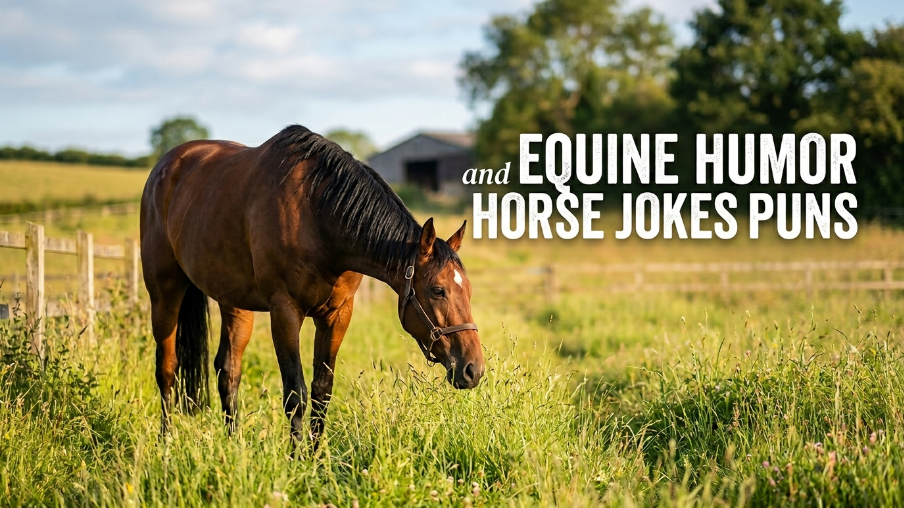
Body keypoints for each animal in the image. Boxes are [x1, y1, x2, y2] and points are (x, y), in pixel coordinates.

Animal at [140, 125, 485, 443]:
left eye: (469, 290)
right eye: (437, 290)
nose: (473, 369)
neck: (317, 216)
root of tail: (167, 165)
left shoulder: (337, 315)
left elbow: (322, 391)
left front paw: (316, 459)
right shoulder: (285, 312)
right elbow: (296, 395)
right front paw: (296, 462)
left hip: (233, 303)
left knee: (228, 371)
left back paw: (234, 444)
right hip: (165, 293)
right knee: (167, 369)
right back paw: (166, 442)